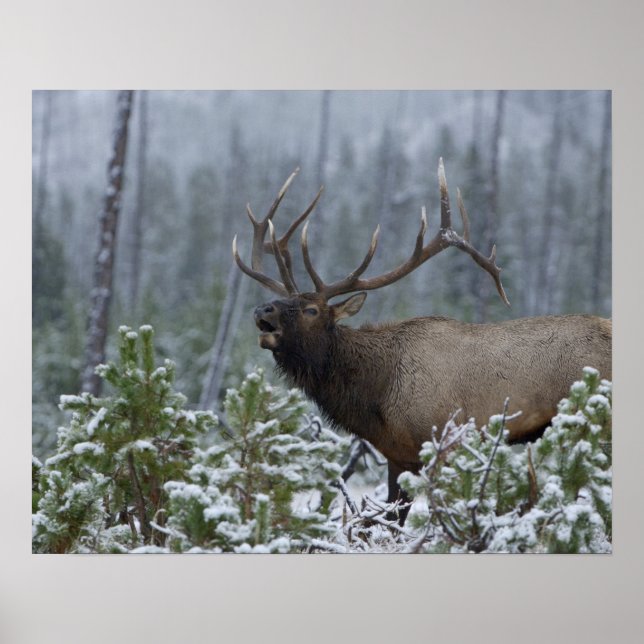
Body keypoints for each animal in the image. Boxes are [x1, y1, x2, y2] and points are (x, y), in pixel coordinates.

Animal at [232, 159, 612, 522]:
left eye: (311, 310)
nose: (262, 310)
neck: (376, 393)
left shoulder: (443, 440)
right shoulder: (398, 455)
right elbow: (391, 516)